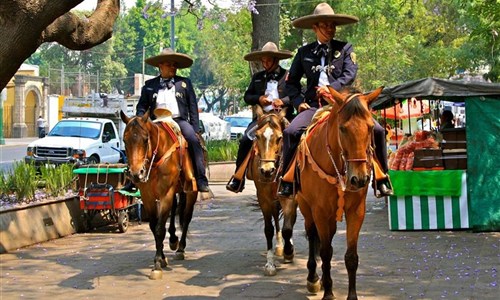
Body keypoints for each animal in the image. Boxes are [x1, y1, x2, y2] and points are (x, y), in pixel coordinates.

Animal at [120, 109, 198, 278]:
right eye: (124, 140)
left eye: (145, 140)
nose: (136, 174)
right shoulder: (147, 196)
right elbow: (153, 226)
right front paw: (161, 258)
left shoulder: (165, 194)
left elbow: (160, 228)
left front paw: (157, 264)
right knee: (175, 210)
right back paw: (173, 239)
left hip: (190, 192)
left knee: (186, 217)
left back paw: (180, 248)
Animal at [246, 106, 296, 276]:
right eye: (257, 136)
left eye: (280, 138)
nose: (267, 170)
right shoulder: (263, 197)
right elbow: (269, 229)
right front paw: (270, 264)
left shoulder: (289, 197)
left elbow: (288, 226)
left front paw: (289, 251)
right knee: (276, 217)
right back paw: (280, 246)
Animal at [294, 85, 384, 298]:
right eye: (342, 128)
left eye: (370, 127)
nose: (359, 179)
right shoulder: (319, 210)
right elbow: (325, 252)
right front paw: (328, 293)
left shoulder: (356, 211)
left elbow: (351, 257)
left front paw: (352, 296)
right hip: (305, 206)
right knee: (312, 235)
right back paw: (313, 279)